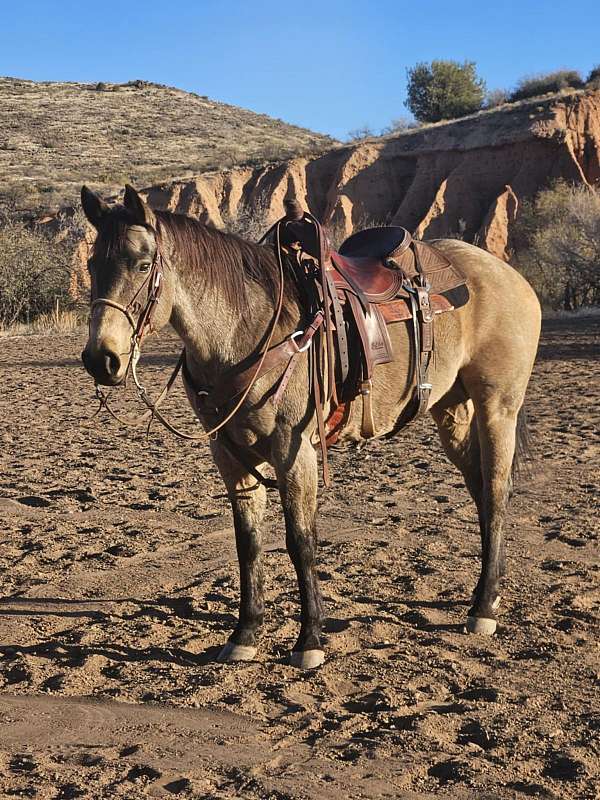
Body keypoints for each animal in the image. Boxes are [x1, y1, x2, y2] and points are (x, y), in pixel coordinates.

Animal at [79, 184, 544, 664]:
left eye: (141, 263)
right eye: (92, 264)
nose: (102, 359)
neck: (247, 329)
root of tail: (507, 274)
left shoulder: (293, 450)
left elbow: (300, 540)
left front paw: (310, 640)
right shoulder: (229, 453)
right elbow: (248, 542)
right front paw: (246, 633)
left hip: (497, 407)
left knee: (496, 491)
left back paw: (484, 607)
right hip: (452, 409)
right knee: (481, 489)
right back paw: (487, 592)